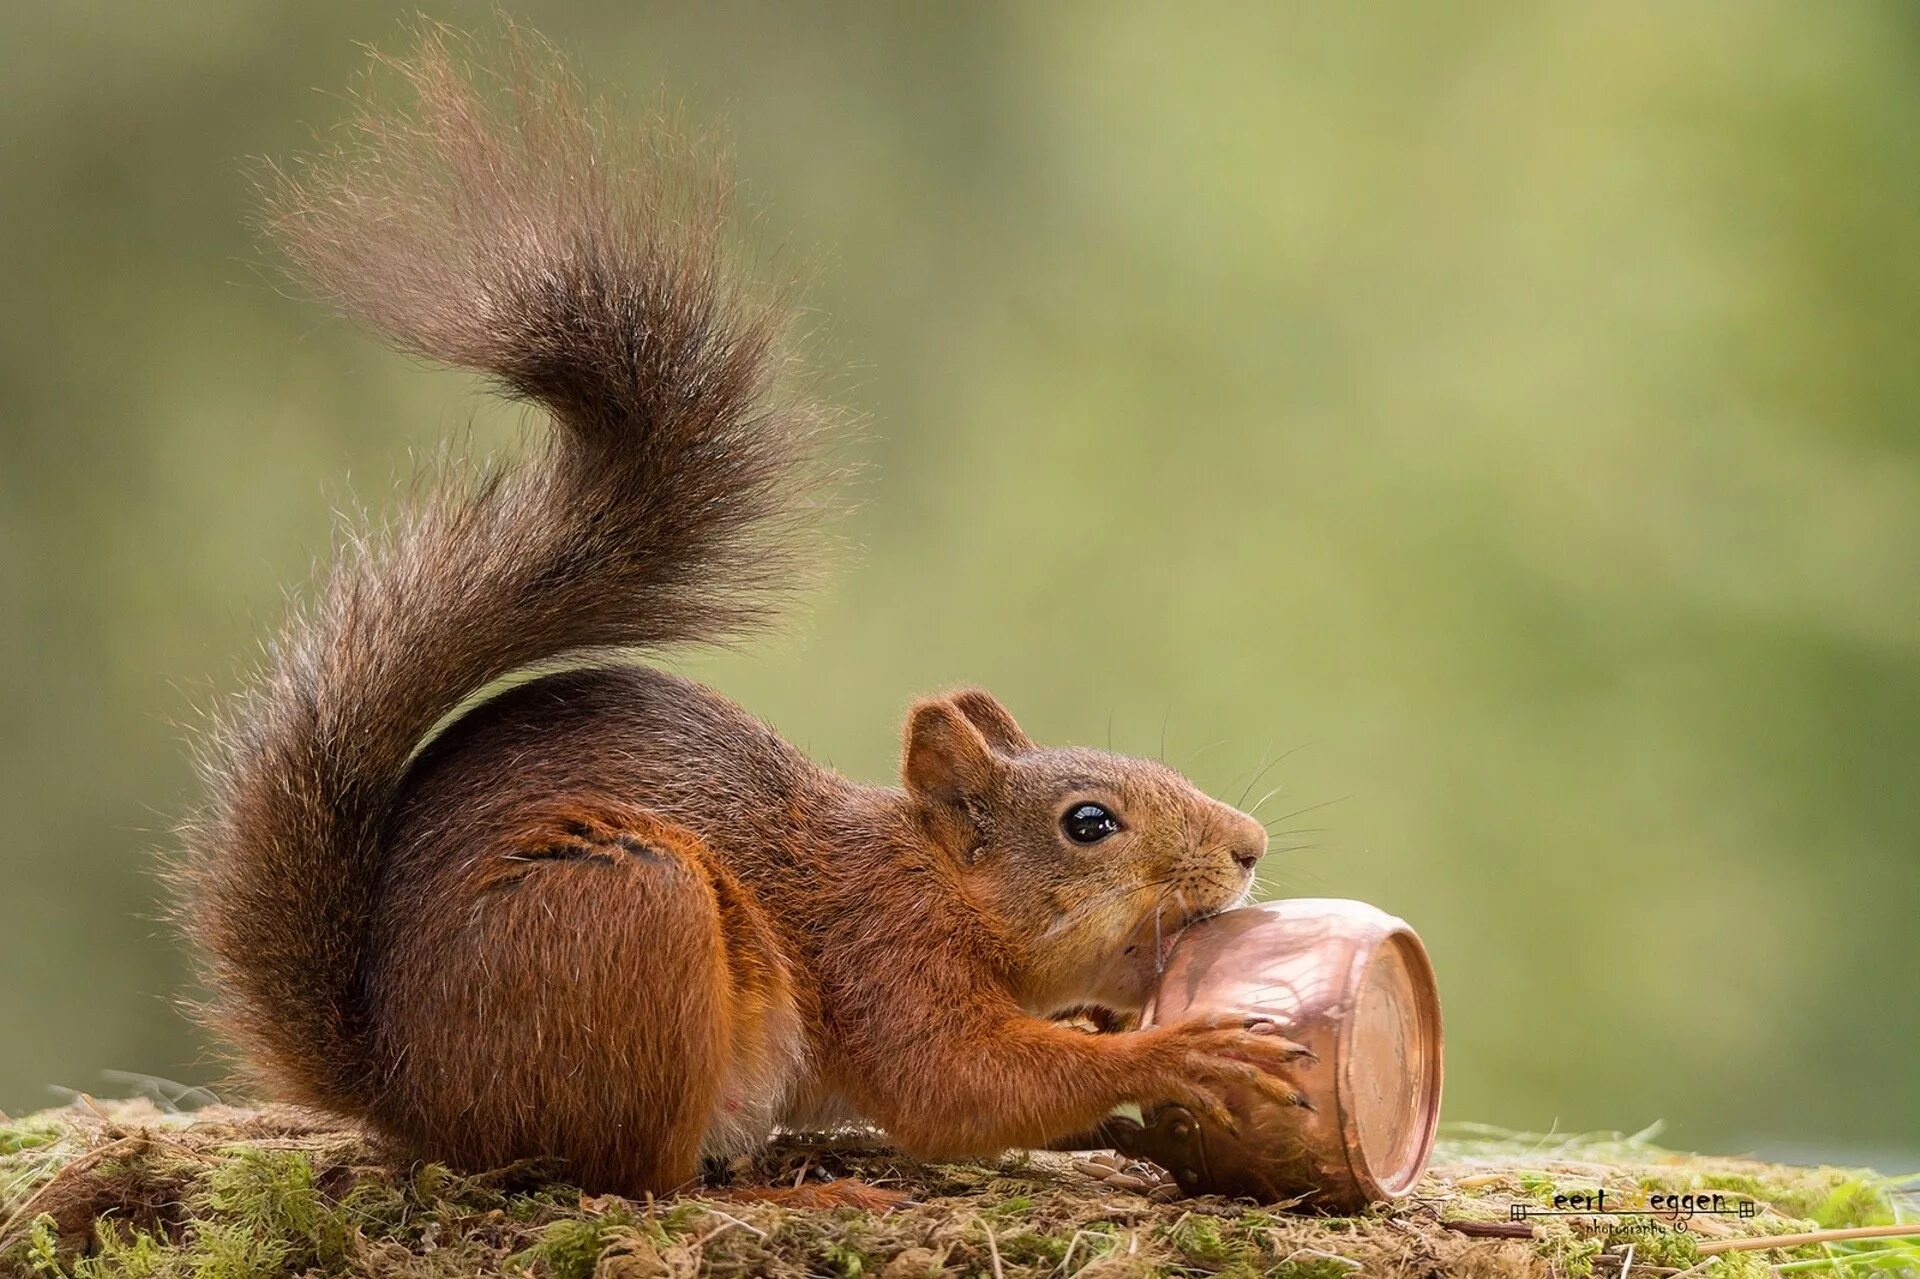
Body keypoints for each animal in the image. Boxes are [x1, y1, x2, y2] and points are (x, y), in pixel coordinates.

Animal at [168, 27, 1305, 1198]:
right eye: (1089, 824)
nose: (1251, 844)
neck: (937, 881)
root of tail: (406, 1090)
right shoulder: (885, 955)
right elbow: (958, 1087)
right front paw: (1175, 1052)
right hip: (632, 920)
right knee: (639, 1176)